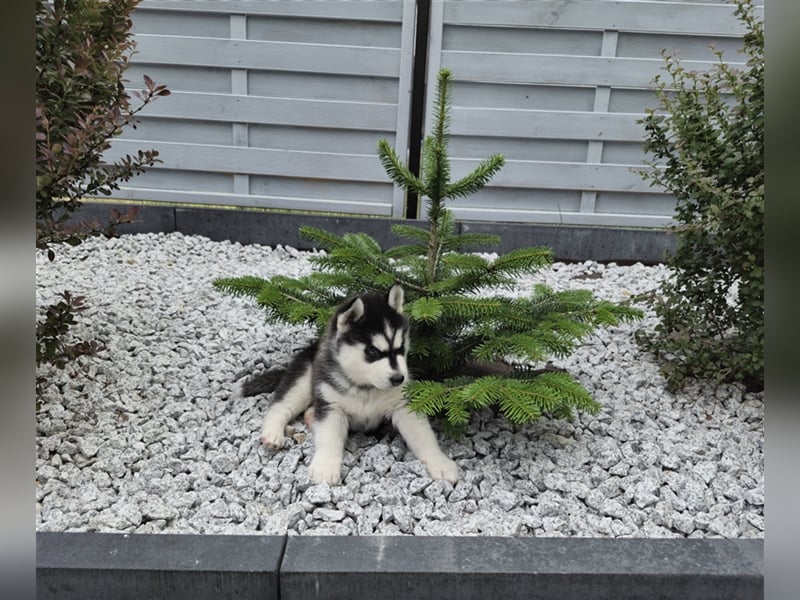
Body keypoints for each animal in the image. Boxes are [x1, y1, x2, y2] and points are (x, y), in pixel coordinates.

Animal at [241, 284, 460, 486]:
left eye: (400, 348)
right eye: (372, 351)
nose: (399, 379)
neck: (365, 388)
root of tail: (314, 346)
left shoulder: (403, 405)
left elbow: (424, 437)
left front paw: (440, 462)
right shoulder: (331, 405)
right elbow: (329, 437)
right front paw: (325, 467)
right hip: (305, 378)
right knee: (280, 405)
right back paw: (272, 433)